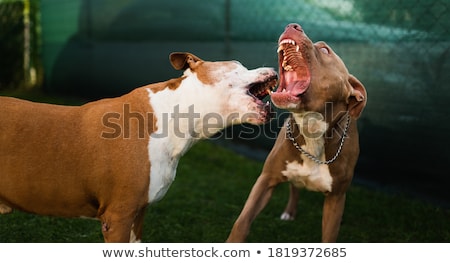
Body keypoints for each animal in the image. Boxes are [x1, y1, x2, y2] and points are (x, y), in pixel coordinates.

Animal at [227, 23, 368, 242]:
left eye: (325, 50)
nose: (292, 25)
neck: (312, 129)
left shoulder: (335, 199)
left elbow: (329, 237)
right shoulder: (265, 180)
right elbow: (242, 222)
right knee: (294, 187)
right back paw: (289, 211)